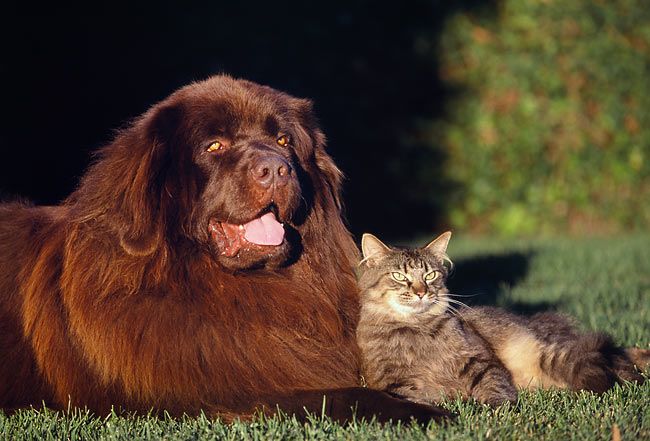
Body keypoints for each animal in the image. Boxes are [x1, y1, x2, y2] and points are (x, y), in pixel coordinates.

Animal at [0, 75, 450, 422]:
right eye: (214, 146)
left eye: (283, 140)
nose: (276, 169)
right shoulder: (215, 388)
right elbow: (336, 395)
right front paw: (426, 412)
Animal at [354, 232, 648, 408]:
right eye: (399, 276)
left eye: (430, 276)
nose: (420, 292)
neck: (416, 329)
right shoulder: (393, 381)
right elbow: (417, 395)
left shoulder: (480, 359)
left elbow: (494, 386)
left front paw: (494, 407)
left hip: (557, 355)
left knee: (618, 357)